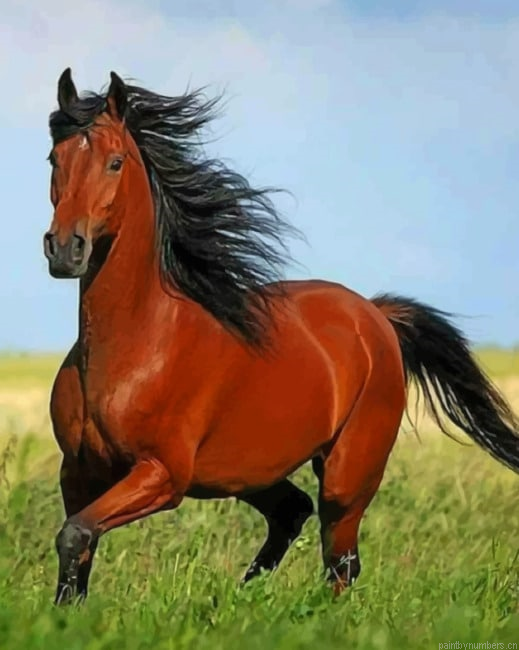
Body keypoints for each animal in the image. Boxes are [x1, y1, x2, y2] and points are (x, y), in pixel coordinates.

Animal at [43, 68, 519, 606]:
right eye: (55, 158)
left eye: (115, 162)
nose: (65, 249)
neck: (135, 346)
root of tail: (374, 314)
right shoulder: (78, 471)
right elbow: (78, 552)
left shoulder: (162, 474)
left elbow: (75, 535)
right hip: (252, 470)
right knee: (294, 514)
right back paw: (242, 596)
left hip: (347, 474)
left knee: (340, 560)